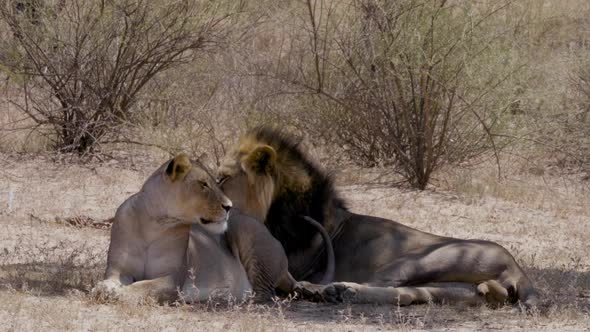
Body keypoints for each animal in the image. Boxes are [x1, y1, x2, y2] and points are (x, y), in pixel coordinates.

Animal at [94, 153, 330, 304]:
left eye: (216, 182)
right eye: (203, 184)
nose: (229, 206)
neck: (154, 224)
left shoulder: (173, 279)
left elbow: (144, 286)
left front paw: (119, 294)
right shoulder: (118, 269)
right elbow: (111, 280)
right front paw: (103, 288)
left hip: (247, 231)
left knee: (265, 293)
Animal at [216, 127, 540, 308]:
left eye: (221, 178)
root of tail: (518, 270)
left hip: (420, 259)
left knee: (384, 283)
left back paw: (328, 290)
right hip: (460, 290)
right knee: (408, 294)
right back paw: (341, 293)